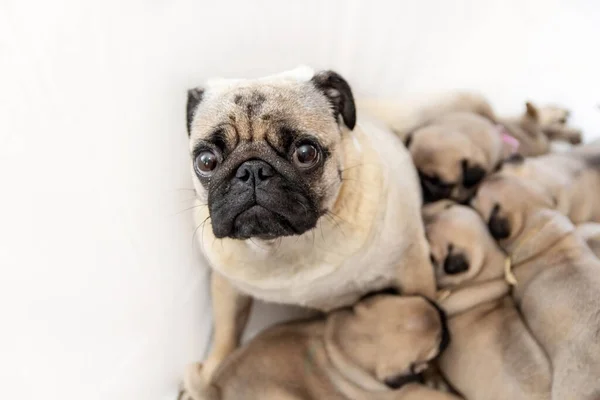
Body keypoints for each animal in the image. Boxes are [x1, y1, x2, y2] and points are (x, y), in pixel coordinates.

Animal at [188, 67, 482, 386]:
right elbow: (226, 334)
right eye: (206, 161)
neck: (284, 247)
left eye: (306, 153)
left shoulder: (412, 268)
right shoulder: (227, 285)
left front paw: (433, 373)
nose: (252, 170)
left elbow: (426, 304)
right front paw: (212, 371)